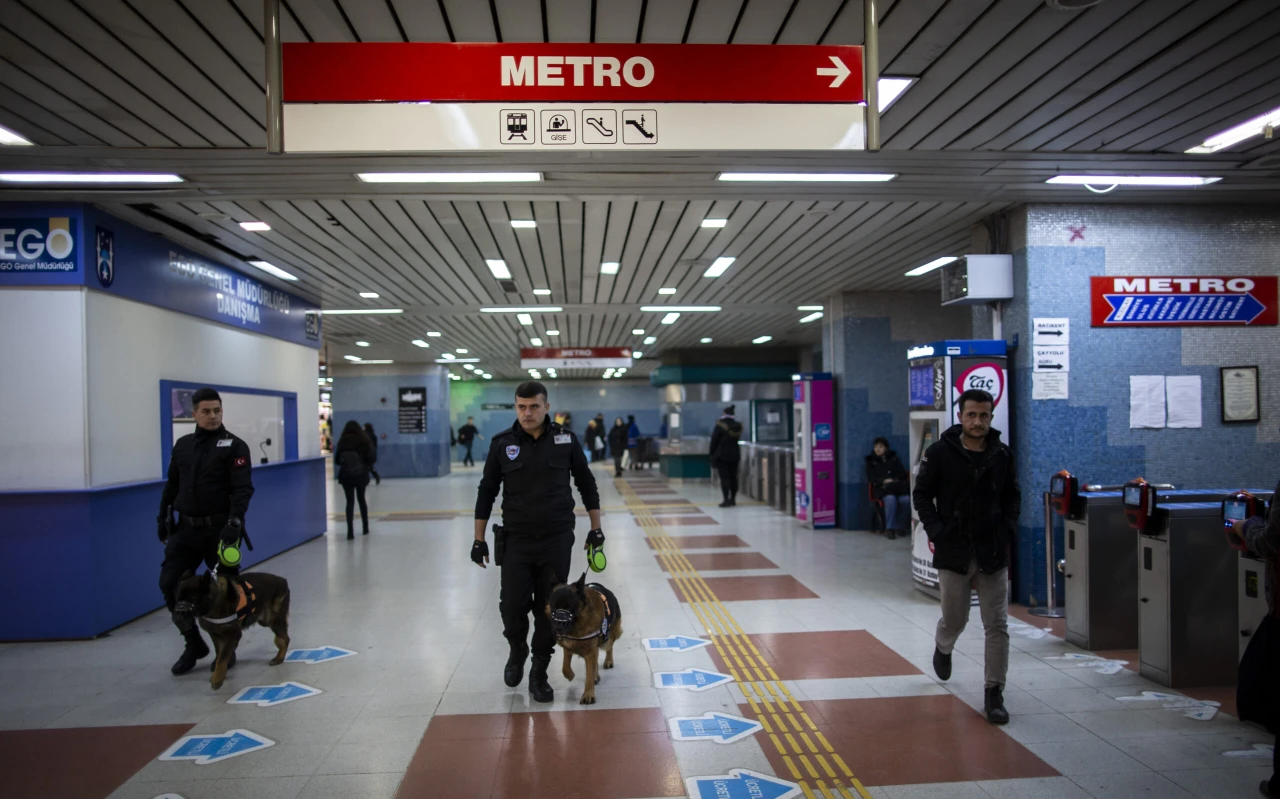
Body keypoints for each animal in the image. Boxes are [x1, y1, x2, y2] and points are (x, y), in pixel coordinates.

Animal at [542, 568, 622, 706]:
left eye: (569, 606)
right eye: (554, 607)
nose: (557, 628)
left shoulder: (590, 651)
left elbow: (589, 674)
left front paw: (588, 694)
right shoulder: (568, 647)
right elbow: (565, 667)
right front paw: (570, 675)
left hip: (606, 640)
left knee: (609, 646)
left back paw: (608, 661)